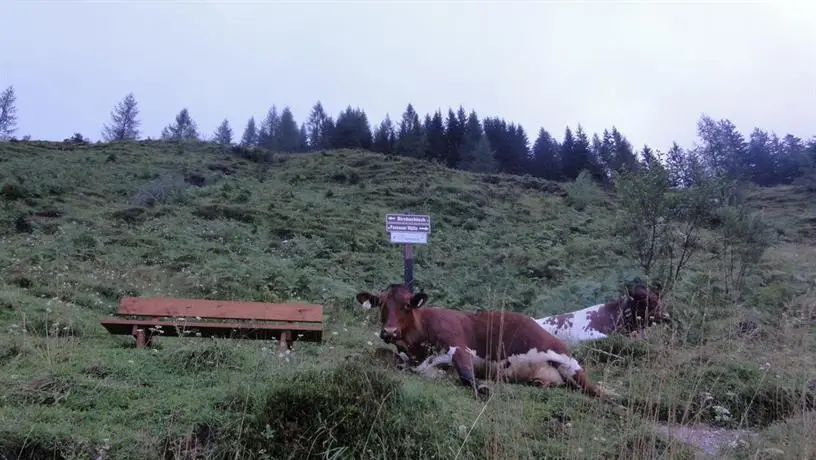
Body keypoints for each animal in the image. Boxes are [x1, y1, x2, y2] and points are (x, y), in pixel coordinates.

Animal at [356, 284, 604, 398]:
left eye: (407, 305)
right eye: (381, 303)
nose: (389, 331)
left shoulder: (459, 345)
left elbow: (467, 375)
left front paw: (483, 387)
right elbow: (383, 355)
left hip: (567, 361)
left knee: (593, 389)